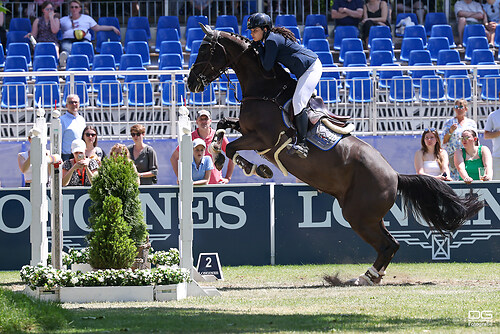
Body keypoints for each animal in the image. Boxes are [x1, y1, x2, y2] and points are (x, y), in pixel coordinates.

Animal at [188, 24, 484, 284]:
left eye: (205, 49)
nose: (191, 83)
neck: (265, 90)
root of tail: (395, 176)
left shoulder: (262, 138)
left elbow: (232, 147)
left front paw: (254, 168)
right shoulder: (246, 129)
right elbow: (221, 127)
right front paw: (217, 153)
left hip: (359, 216)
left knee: (387, 245)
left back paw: (364, 278)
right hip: (369, 216)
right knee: (391, 244)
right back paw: (369, 277)